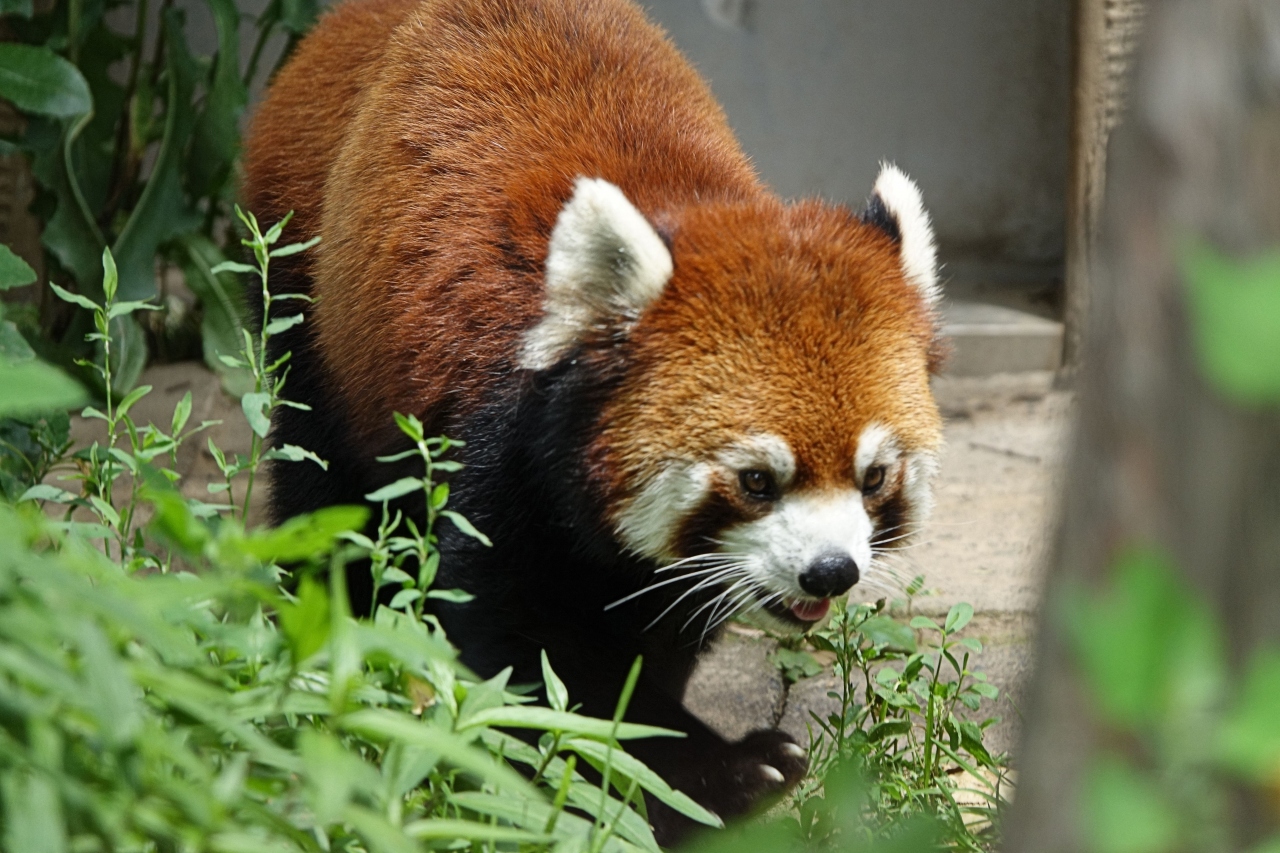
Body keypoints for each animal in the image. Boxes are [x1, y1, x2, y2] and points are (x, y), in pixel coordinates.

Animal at [241, 0, 942, 835]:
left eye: (874, 477)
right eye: (756, 480)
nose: (831, 569)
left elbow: (659, 621)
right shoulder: (500, 434)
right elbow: (530, 647)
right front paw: (709, 775)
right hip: (309, 297)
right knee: (324, 484)